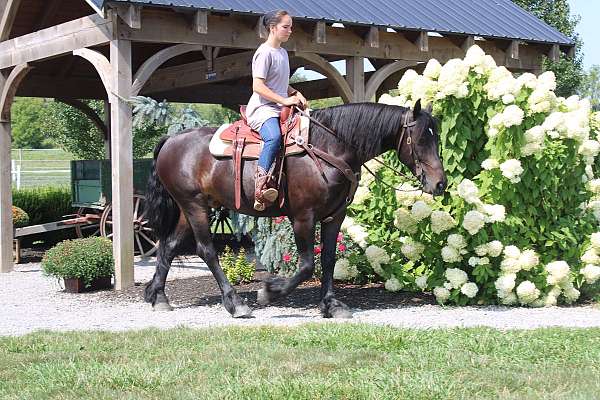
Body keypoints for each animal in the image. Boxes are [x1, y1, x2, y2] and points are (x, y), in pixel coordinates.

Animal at [144, 100, 446, 318]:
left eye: (437, 138)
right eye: (420, 139)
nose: (440, 183)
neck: (329, 148)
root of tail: (170, 140)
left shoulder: (334, 216)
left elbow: (328, 260)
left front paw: (331, 305)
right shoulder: (303, 217)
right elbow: (307, 265)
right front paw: (269, 292)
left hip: (191, 208)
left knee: (169, 246)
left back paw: (158, 297)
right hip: (195, 206)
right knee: (206, 250)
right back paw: (235, 303)